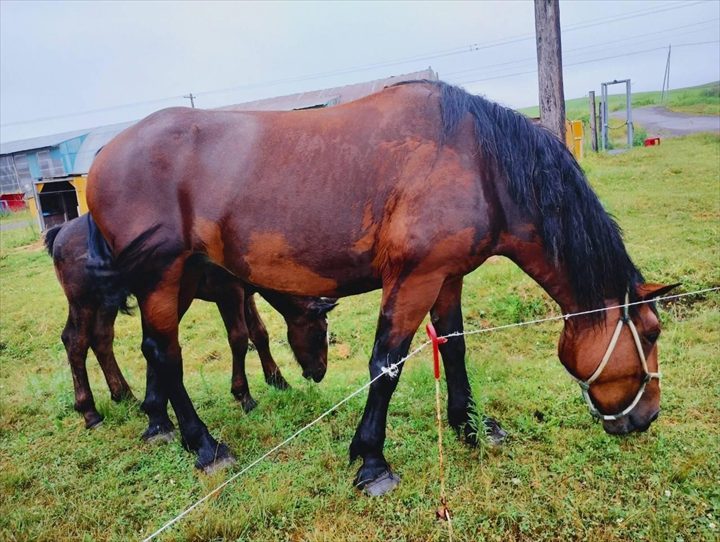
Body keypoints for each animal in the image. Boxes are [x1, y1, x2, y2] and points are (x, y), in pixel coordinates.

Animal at [45, 217, 338, 434]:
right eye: (321, 331)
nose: (319, 372)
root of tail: (62, 230)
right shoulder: (228, 292)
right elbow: (239, 338)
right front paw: (243, 395)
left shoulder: (244, 294)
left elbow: (260, 333)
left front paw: (278, 380)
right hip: (84, 301)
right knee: (75, 341)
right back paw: (90, 411)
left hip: (107, 301)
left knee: (102, 338)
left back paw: (124, 394)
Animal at [86, 82, 676, 498]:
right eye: (651, 332)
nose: (646, 417)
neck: (479, 162)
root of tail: (101, 158)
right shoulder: (413, 279)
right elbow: (387, 365)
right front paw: (372, 462)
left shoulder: (447, 276)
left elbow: (453, 347)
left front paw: (469, 426)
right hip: (164, 276)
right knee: (166, 351)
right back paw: (204, 446)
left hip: (178, 279)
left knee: (153, 350)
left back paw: (158, 423)